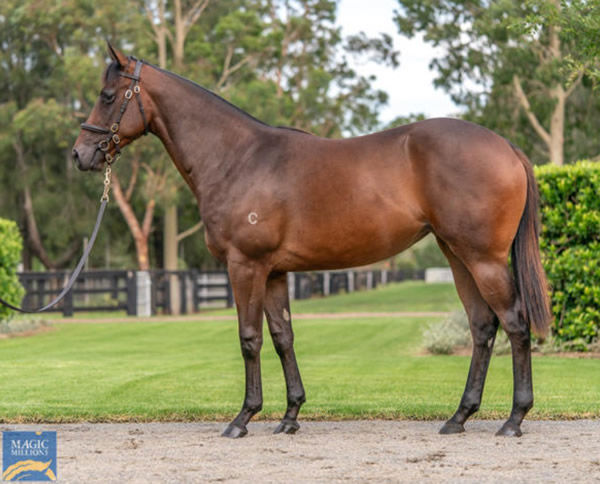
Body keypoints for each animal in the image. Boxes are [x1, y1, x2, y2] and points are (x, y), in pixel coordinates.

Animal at [72, 44, 552, 438]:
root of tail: (507, 147)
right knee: (482, 326)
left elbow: (249, 337)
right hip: (457, 256)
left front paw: (243, 418)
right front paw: (289, 416)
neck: (237, 158)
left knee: (514, 322)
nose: (80, 154)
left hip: (483, 258)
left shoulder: (245, 265)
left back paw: (514, 419)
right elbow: (282, 336)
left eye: (108, 95)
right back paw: (459, 417)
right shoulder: (274, 272)